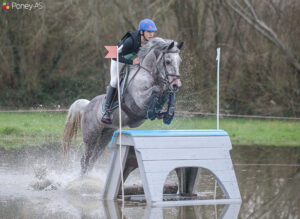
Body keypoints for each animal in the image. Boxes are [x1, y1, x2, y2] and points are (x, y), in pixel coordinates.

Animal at [62, 37, 183, 175]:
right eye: (167, 61)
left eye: (179, 61)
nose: (176, 85)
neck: (149, 74)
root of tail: (87, 105)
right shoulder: (140, 100)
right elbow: (156, 91)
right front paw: (154, 110)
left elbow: (166, 94)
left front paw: (168, 114)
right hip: (91, 137)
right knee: (85, 161)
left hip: (105, 136)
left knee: (92, 161)